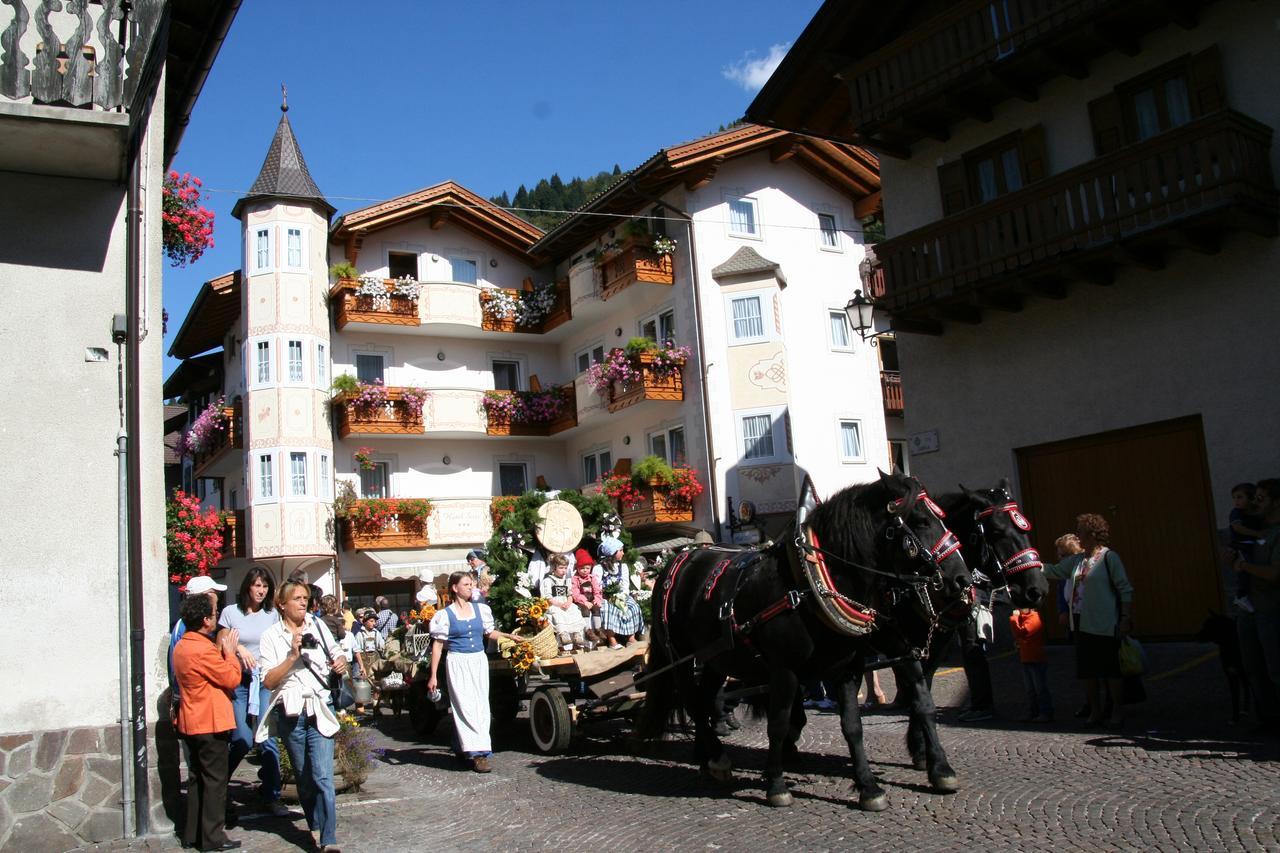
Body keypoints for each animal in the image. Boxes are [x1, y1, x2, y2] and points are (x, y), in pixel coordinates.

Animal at [640, 471, 967, 809]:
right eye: (921, 521)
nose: (962, 580)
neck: (809, 584)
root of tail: (676, 562)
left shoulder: (851, 666)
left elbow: (859, 723)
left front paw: (872, 786)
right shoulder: (786, 670)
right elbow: (778, 723)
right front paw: (776, 784)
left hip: (716, 657)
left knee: (705, 697)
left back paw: (709, 757)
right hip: (681, 656)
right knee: (691, 700)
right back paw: (717, 757)